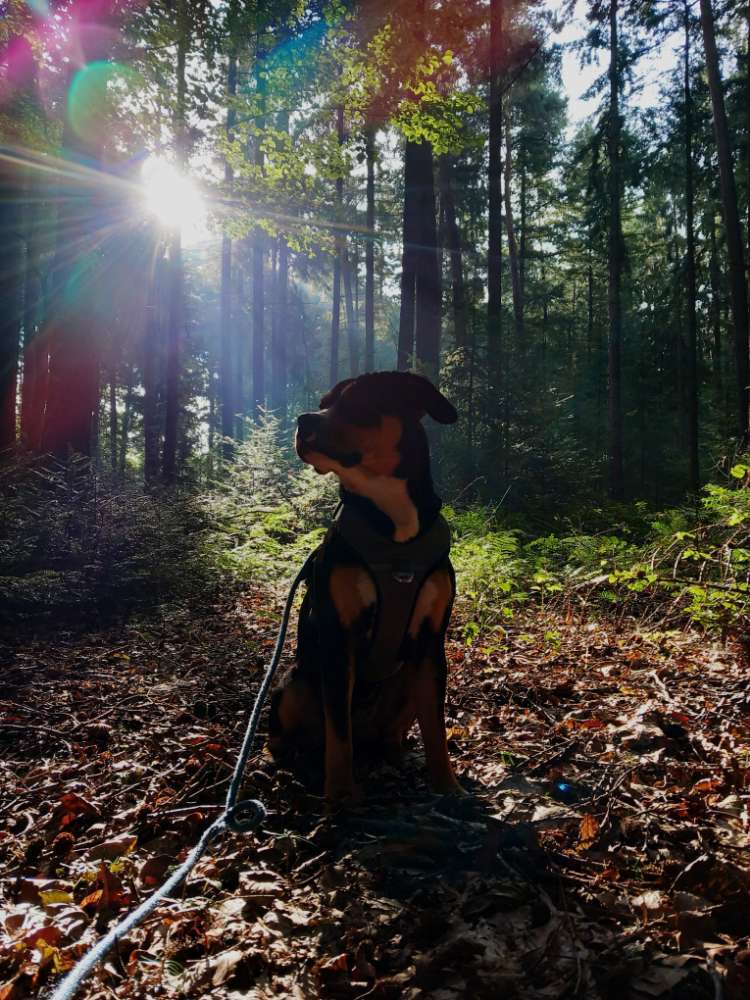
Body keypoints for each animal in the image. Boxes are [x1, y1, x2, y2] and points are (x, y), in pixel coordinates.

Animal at [268, 372, 462, 800]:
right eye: (324, 403)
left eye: (358, 402)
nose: (304, 420)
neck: (393, 527)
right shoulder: (339, 641)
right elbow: (339, 736)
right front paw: (341, 797)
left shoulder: (431, 645)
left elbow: (436, 727)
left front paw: (447, 784)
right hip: (294, 684)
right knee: (295, 735)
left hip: (406, 678)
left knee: (390, 731)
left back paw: (395, 753)